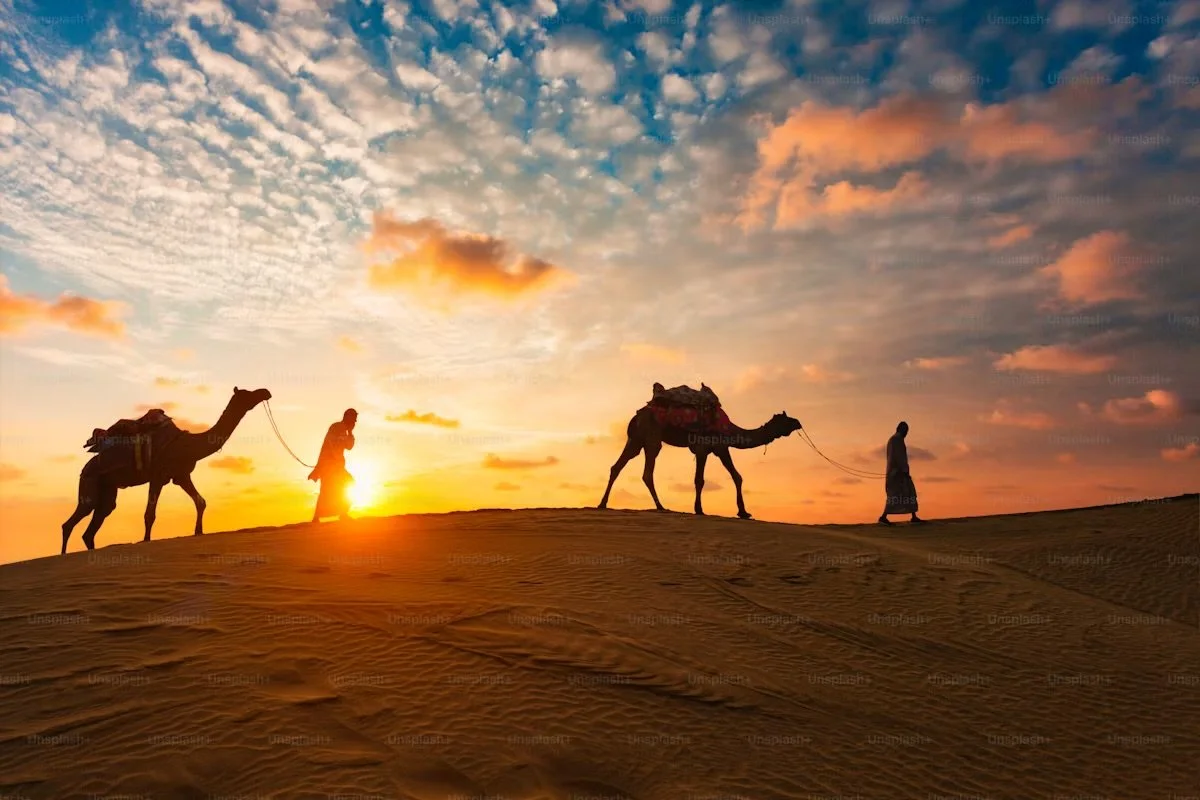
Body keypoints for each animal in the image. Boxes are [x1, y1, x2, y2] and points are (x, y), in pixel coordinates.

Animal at [61, 387, 272, 554]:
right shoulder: (157, 476)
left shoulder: (181, 475)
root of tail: (85, 468)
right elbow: (149, 515)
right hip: (89, 480)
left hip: (107, 488)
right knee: (73, 519)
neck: (187, 445)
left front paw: (198, 532)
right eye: (247, 393)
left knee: (95, 522)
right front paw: (146, 541)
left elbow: (201, 502)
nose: (265, 392)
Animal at [597, 406, 802, 519]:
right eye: (786, 419)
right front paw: (699, 509)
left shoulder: (720, 448)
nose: (798, 422)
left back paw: (602, 504)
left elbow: (737, 476)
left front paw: (744, 512)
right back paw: (661, 507)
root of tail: (635, 417)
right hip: (651, 437)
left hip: (636, 439)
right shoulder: (706, 447)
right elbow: (700, 480)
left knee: (618, 466)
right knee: (647, 472)